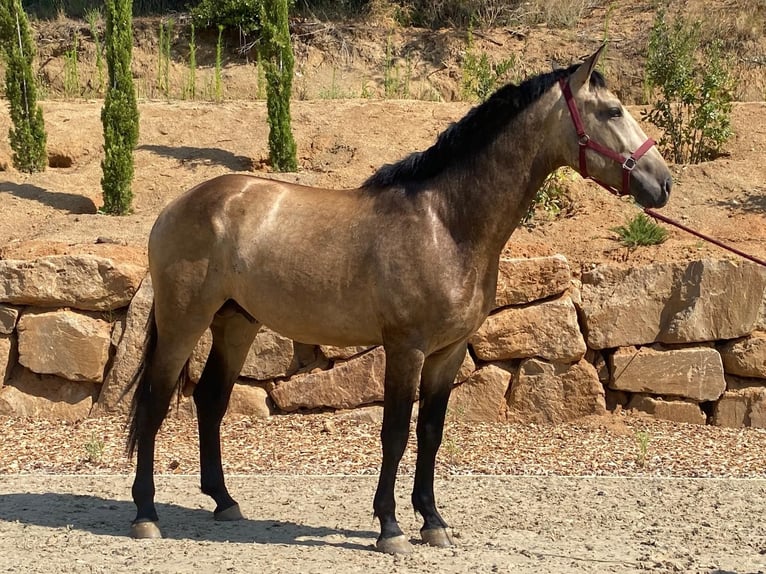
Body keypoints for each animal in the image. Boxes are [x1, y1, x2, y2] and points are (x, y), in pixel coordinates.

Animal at [127, 46, 672, 554]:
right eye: (614, 111)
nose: (663, 183)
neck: (445, 223)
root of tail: (178, 206)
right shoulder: (405, 348)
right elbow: (394, 433)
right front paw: (389, 527)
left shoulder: (448, 353)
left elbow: (430, 432)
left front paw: (432, 522)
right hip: (183, 321)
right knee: (154, 402)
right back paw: (146, 515)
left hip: (236, 323)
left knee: (210, 400)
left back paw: (224, 501)